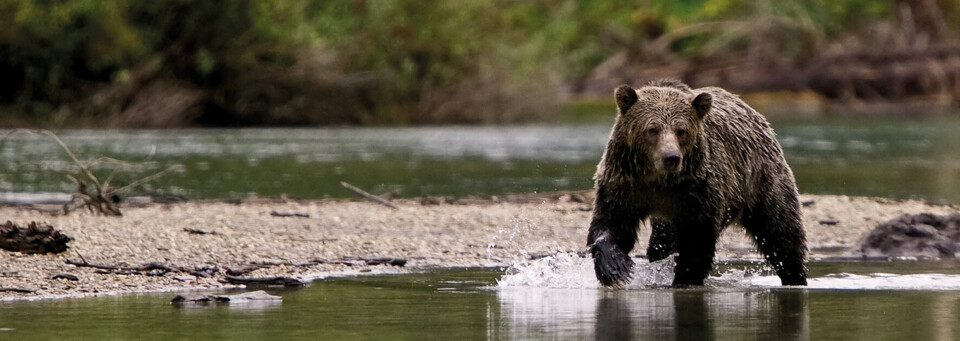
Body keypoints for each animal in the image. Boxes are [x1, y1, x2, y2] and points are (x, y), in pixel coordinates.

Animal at [588, 78, 808, 286]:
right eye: (652, 129)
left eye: (681, 130)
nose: (671, 157)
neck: (659, 179)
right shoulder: (624, 183)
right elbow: (611, 224)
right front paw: (615, 268)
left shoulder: (697, 191)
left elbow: (696, 241)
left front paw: (683, 279)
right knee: (662, 243)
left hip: (761, 180)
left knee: (781, 233)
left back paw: (795, 277)